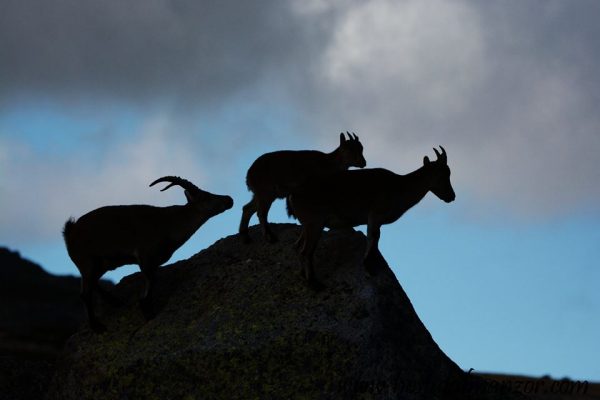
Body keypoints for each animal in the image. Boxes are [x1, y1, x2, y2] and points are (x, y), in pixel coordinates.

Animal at [62, 177, 232, 332]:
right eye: (205, 196)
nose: (229, 199)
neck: (169, 224)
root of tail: (70, 232)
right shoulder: (146, 257)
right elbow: (148, 290)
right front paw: (149, 314)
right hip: (88, 262)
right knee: (84, 293)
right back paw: (97, 326)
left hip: (101, 264)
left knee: (92, 284)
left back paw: (114, 301)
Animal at [290, 146, 454, 288]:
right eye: (442, 174)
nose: (451, 196)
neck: (399, 188)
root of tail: (293, 195)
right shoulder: (375, 214)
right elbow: (373, 237)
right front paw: (368, 265)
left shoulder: (377, 220)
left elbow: (376, 238)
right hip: (315, 222)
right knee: (306, 251)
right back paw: (313, 283)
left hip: (307, 225)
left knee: (297, 247)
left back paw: (302, 275)